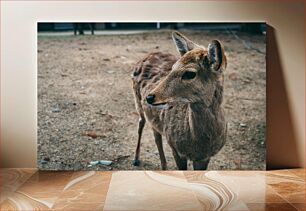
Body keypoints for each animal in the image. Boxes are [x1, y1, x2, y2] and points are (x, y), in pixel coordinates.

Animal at [130, 30, 226, 170]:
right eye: (173, 67)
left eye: (190, 73)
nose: (149, 97)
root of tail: (148, 54)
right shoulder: (176, 149)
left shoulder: (206, 157)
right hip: (137, 100)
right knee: (141, 123)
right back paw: (136, 159)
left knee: (155, 133)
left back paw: (163, 166)